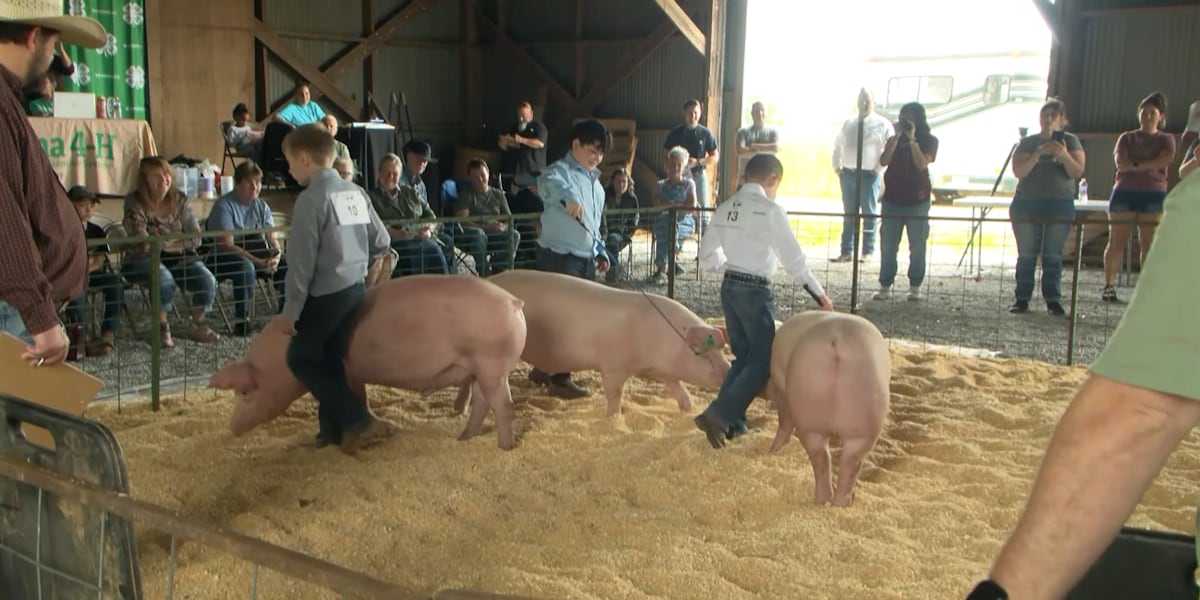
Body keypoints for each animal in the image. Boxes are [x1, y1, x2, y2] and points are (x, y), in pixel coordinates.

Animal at [209, 275, 527, 450]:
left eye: (244, 392)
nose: (232, 427)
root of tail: (514, 302)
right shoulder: (352, 372)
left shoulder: (345, 372)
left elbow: (350, 400)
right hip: (483, 368)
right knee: (483, 403)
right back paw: (464, 438)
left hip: (490, 362)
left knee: (503, 405)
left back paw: (504, 446)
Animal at [486, 270, 730, 417]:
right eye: (704, 352)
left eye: (721, 350)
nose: (727, 370)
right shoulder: (613, 366)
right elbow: (614, 392)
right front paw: (615, 417)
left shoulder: (663, 371)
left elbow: (678, 387)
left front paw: (689, 409)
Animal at [766, 311, 890, 507]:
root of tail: (837, 342)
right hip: (862, 419)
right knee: (843, 461)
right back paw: (838, 502)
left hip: (814, 409)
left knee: (824, 458)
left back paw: (828, 501)